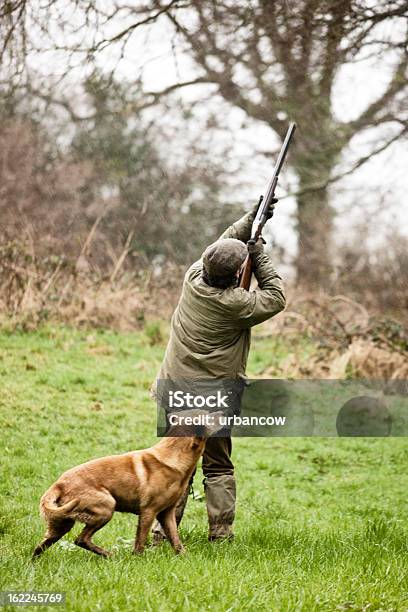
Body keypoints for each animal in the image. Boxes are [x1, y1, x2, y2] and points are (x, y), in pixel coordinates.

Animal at [31, 412, 223, 560]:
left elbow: (176, 540)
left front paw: (185, 558)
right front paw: (138, 560)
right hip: (107, 506)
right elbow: (140, 541)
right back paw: (110, 556)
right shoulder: (148, 511)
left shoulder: (167, 513)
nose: (224, 412)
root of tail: (58, 485)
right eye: (209, 416)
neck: (174, 456)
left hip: (61, 524)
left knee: (41, 547)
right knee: (81, 539)